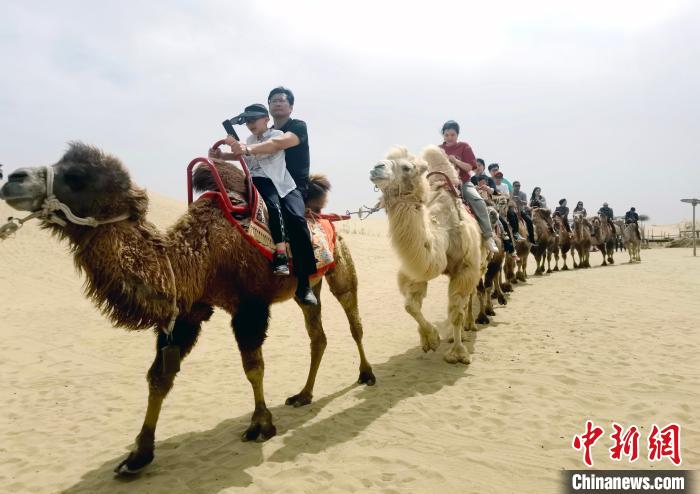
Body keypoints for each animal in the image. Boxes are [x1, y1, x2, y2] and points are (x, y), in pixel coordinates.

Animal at [0, 143, 374, 474]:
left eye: (77, 177)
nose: (13, 178)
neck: (198, 257)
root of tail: (324, 216)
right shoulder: (188, 312)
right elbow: (159, 376)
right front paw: (139, 454)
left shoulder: (249, 307)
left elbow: (253, 367)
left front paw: (260, 424)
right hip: (307, 287)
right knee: (317, 334)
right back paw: (304, 394)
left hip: (340, 266)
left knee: (353, 320)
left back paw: (366, 375)